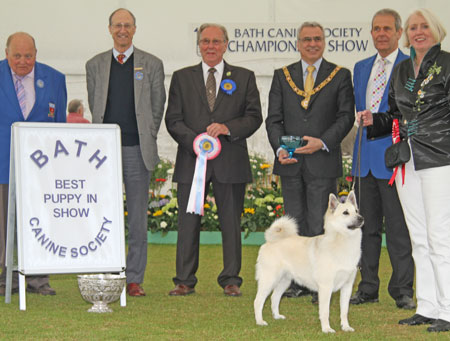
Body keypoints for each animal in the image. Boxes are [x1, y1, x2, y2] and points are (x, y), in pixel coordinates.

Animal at [255, 191, 364, 332]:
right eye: (345, 213)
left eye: (356, 211)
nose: (361, 218)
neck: (342, 240)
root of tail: (270, 241)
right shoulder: (325, 287)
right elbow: (325, 311)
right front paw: (326, 329)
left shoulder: (347, 286)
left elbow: (344, 311)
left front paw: (346, 327)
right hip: (269, 280)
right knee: (258, 301)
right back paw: (260, 321)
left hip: (284, 281)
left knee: (274, 297)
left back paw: (277, 316)